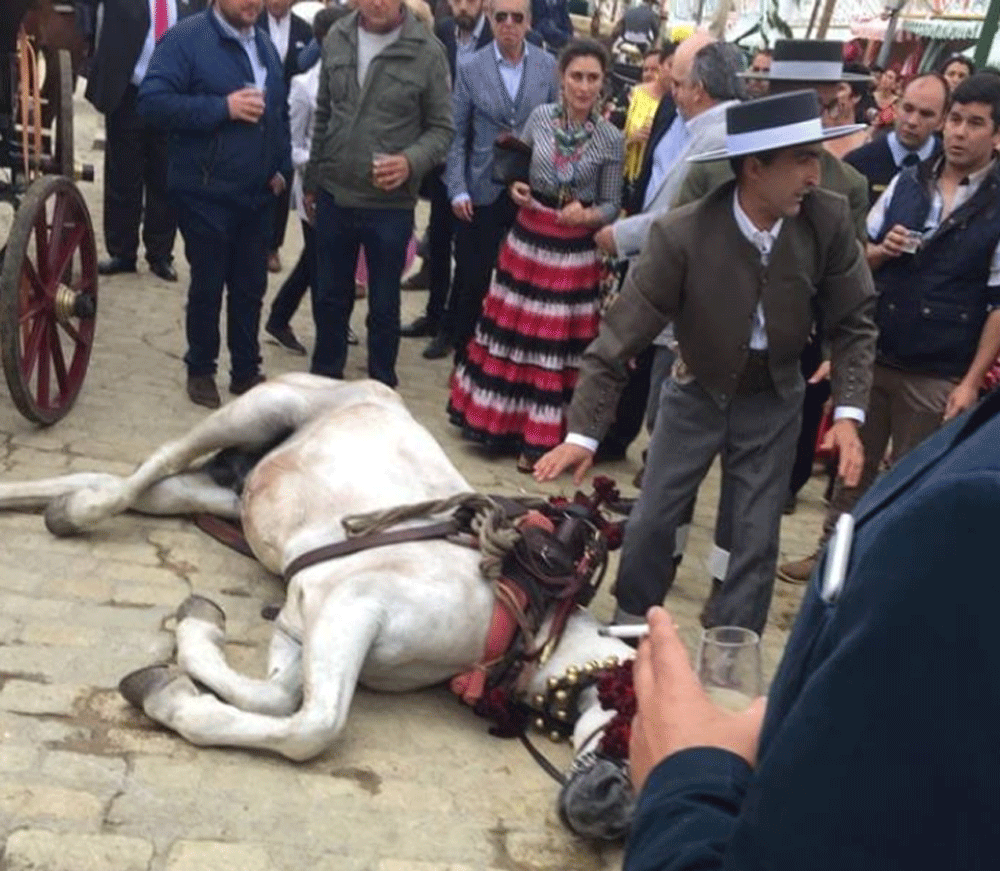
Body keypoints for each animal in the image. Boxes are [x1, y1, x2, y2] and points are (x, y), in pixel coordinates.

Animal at [0, 372, 636, 836]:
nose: (614, 814)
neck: (517, 605)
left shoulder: (306, 621)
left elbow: (276, 695)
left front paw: (190, 644)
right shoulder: (349, 608)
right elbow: (313, 725)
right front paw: (171, 696)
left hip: (227, 493)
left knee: (139, 485)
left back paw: (42, 498)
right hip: (255, 410)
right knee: (149, 467)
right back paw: (72, 513)